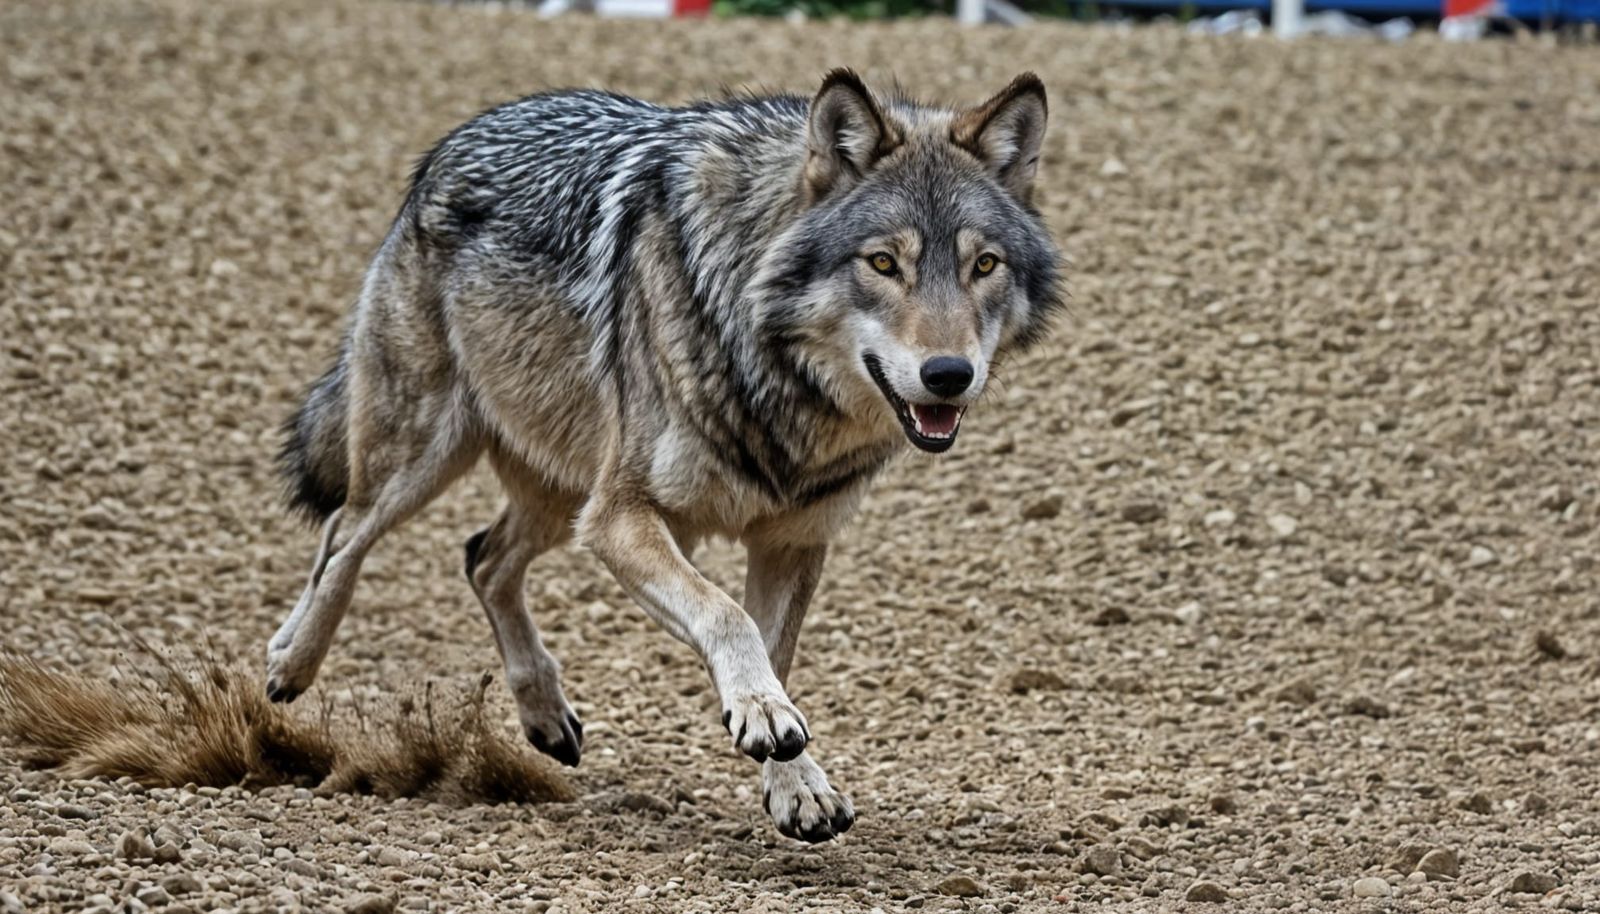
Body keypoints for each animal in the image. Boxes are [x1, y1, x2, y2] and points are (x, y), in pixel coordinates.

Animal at [265, 69, 1063, 843]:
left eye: (984, 265)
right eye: (884, 262)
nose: (949, 374)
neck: (775, 378)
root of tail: (452, 143)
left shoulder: (790, 540)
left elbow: (772, 650)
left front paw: (796, 784)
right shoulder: (623, 517)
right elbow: (727, 618)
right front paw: (764, 715)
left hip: (560, 492)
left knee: (482, 558)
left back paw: (542, 714)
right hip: (427, 459)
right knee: (344, 536)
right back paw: (289, 664)